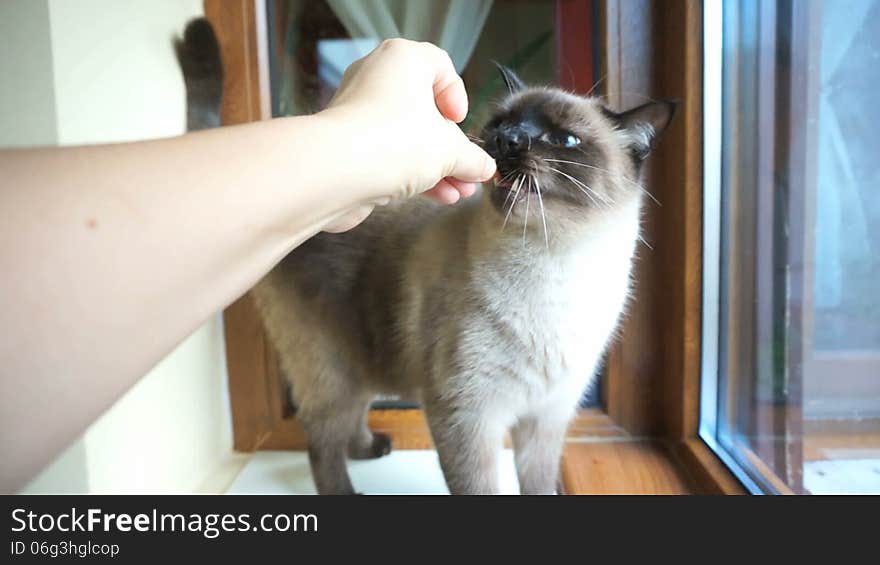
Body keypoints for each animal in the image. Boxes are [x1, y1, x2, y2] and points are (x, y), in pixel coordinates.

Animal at [177, 17, 672, 494]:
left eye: (565, 140)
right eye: (501, 123)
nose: (510, 139)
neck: (556, 266)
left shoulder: (546, 418)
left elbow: (539, 485)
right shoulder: (467, 413)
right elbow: (478, 488)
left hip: (362, 357)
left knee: (352, 417)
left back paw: (372, 447)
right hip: (331, 364)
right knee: (321, 436)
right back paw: (347, 491)